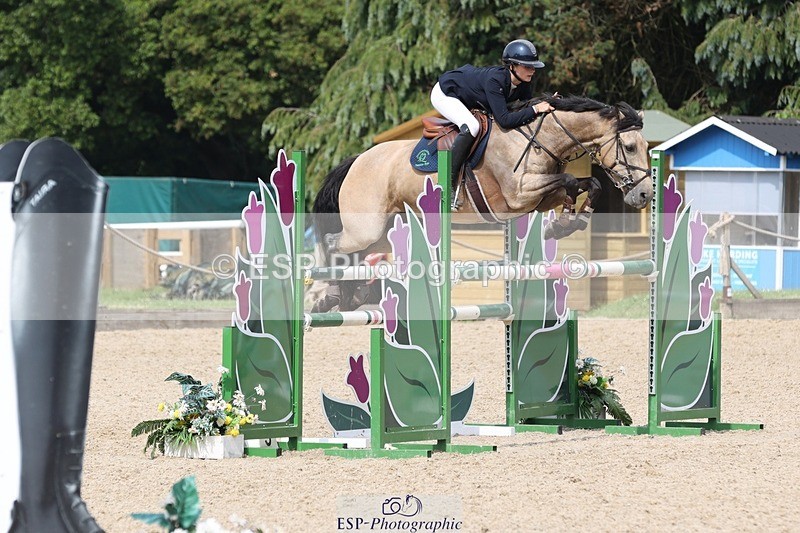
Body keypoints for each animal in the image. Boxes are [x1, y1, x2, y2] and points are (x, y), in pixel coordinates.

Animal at [311, 95, 652, 312]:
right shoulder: (518, 196)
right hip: (365, 228)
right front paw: (562, 224)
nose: (645, 195)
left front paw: (567, 223)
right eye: (630, 147)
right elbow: (569, 181)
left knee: (356, 257)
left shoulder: (537, 198)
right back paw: (331, 295)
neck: (539, 139)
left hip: (383, 231)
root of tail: (357, 160)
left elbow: (587, 185)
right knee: (331, 243)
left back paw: (351, 297)